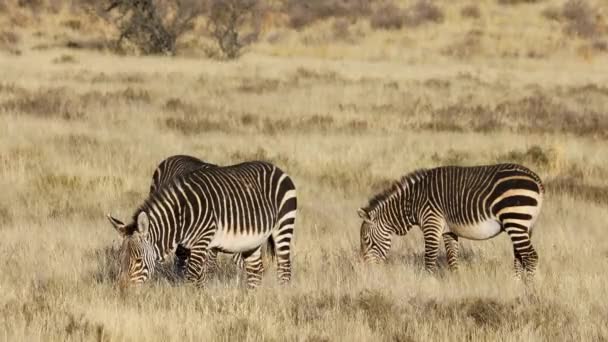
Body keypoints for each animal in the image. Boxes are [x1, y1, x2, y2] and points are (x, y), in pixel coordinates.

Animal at [110, 161, 300, 288]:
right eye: (119, 259)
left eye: (138, 260)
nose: (123, 292)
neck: (182, 215)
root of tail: (276, 168)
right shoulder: (196, 247)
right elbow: (199, 277)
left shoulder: (202, 241)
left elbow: (192, 277)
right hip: (251, 241)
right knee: (255, 272)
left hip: (284, 225)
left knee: (285, 269)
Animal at [358, 164, 544, 280]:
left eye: (366, 240)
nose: (366, 272)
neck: (412, 202)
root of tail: (536, 179)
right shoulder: (448, 229)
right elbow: (452, 258)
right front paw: (455, 282)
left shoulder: (431, 222)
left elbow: (429, 257)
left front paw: (426, 284)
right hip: (524, 225)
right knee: (520, 257)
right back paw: (515, 285)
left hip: (514, 218)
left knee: (531, 257)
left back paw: (528, 290)